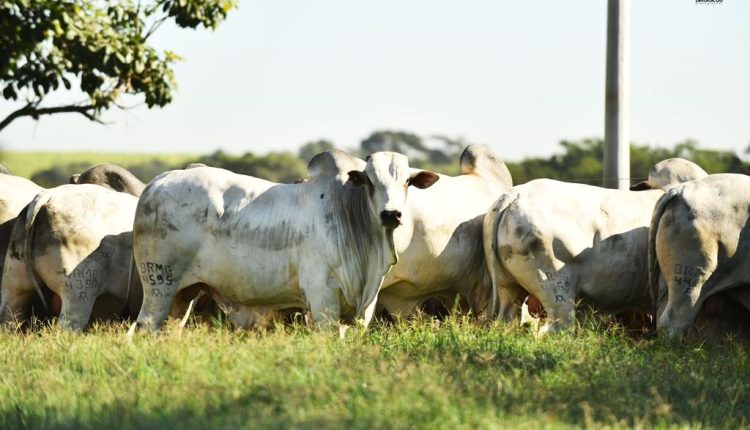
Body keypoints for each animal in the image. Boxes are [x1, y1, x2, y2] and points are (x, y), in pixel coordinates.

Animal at [131, 149, 440, 330]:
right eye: (370, 181)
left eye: (407, 182)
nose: (391, 214)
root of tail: (159, 181)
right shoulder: (322, 299)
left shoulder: (364, 309)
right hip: (159, 288)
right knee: (144, 328)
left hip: (184, 295)